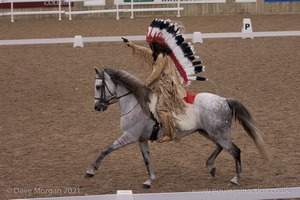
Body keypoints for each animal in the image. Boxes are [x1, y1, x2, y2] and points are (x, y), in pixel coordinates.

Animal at [85, 67, 270, 188]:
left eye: (98, 86)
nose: (97, 106)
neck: (136, 104)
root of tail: (224, 100)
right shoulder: (141, 140)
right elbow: (147, 159)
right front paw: (150, 180)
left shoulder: (129, 137)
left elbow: (106, 149)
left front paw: (90, 171)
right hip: (208, 132)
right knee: (220, 147)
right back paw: (211, 167)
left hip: (219, 134)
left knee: (235, 151)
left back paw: (235, 179)